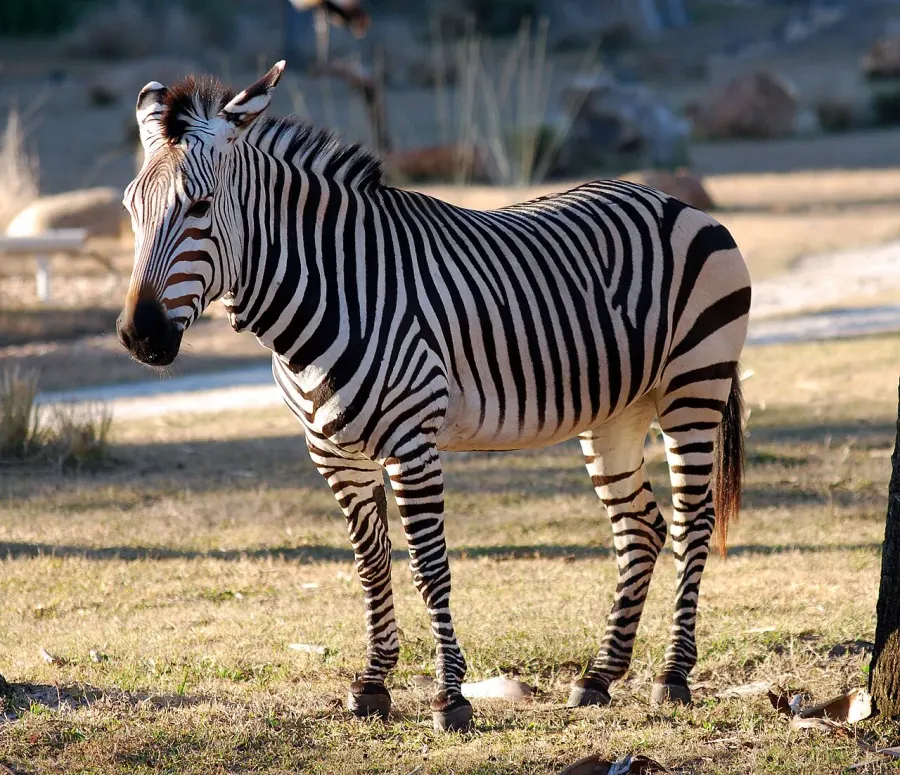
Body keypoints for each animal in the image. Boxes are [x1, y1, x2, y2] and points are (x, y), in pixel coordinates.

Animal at [116, 62, 751, 732]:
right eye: (131, 209)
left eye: (200, 206)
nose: (140, 336)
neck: (330, 292)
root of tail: (676, 202)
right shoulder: (333, 453)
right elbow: (372, 564)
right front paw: (373, 684)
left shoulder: (410, 443)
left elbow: (428, 568)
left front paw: (451, 698)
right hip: (617, 411)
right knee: (640, 528)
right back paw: (600, 676)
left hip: (693, 387)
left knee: (692, 522)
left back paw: (672, 676)